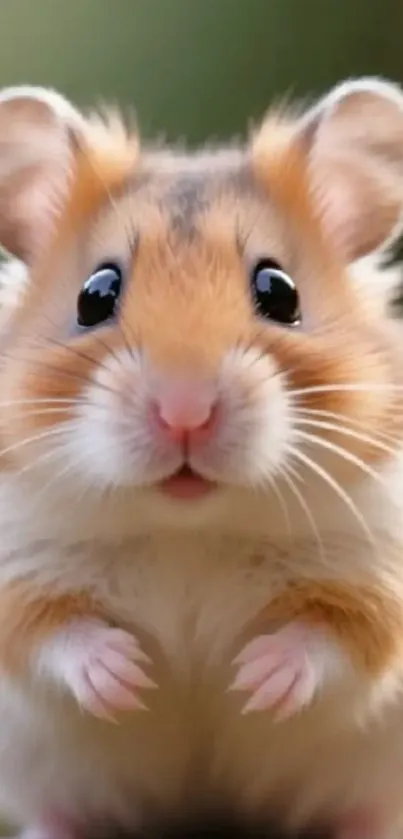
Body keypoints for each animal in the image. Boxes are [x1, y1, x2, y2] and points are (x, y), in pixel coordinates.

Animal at [1, 77, 403, 839]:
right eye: (95, 294)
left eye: (279, 292)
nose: (183, 411)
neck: (186, 528)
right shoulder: (15, 577)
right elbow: (51, 633)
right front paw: (128, 677)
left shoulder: (379, 576)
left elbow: (334, 634)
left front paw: (252, 679)